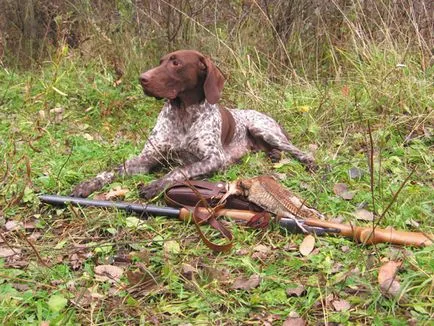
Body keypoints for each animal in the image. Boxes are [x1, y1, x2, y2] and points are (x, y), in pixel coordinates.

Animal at [72, 50, 316, 200]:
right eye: (161, 62)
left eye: (176, 62)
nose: (142, 78)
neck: (183, 114)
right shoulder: (147, 158)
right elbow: (113, 169)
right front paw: (87, 184)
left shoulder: (213, 159)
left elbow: (180, 170)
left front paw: (157, 185)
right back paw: (274, 156)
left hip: (263, 129)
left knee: (295, 149)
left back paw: (309, 162)